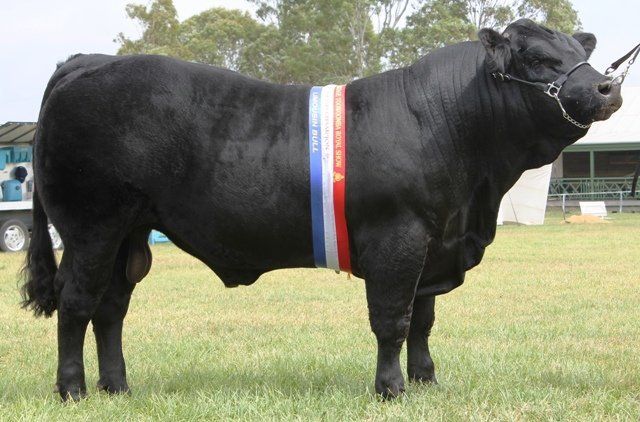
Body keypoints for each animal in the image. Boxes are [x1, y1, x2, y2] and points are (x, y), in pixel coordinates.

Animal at [21, 19, 622, 401]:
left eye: (582, 54)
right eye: (539, 59)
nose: (607, 86)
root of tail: (86, 62)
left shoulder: (436, 243)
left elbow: (424, 319)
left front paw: (426, 380)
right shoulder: (398, 239)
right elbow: (392, 320)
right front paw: (391, 390)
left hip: (129, 231)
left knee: (111, 307)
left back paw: (118, 387)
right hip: (90, 226)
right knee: (77, 302)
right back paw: (73, 390)